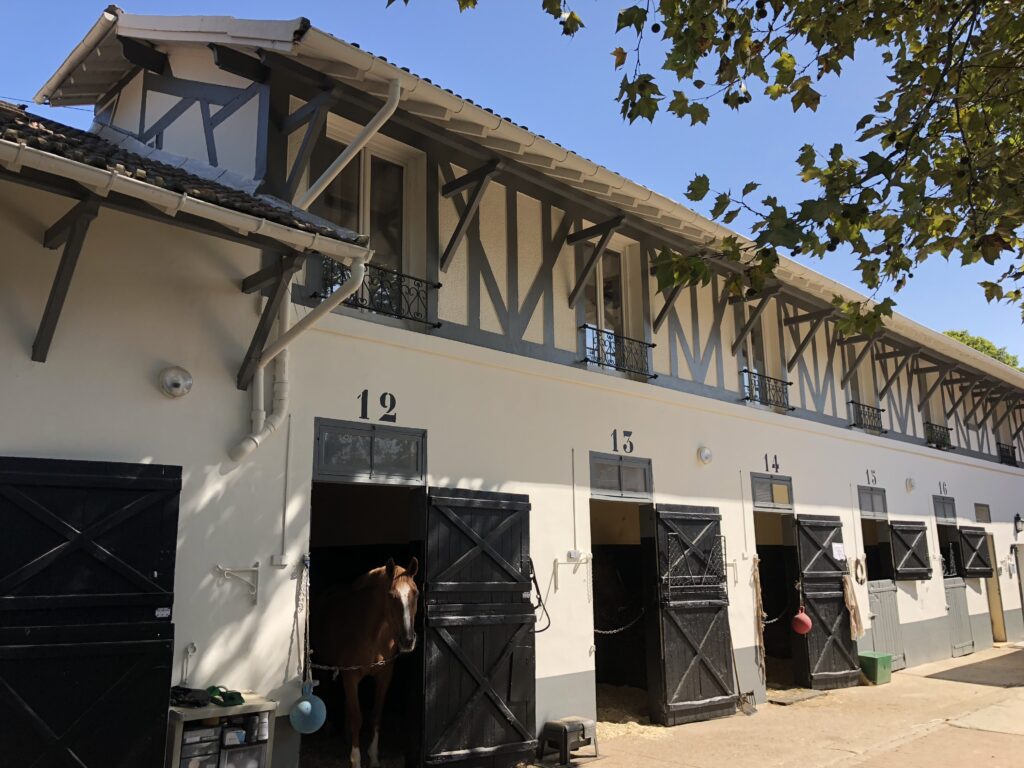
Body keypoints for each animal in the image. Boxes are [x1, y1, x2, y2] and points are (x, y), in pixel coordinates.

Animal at [313, 561, 421, 768]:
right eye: (391, 595)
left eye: (416, 593)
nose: (407, 640)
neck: (373, 634)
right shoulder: (351, 676)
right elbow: (357, 717)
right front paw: (356, 759)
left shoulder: (385, 675)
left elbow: (376, 715)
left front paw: (374, 757)